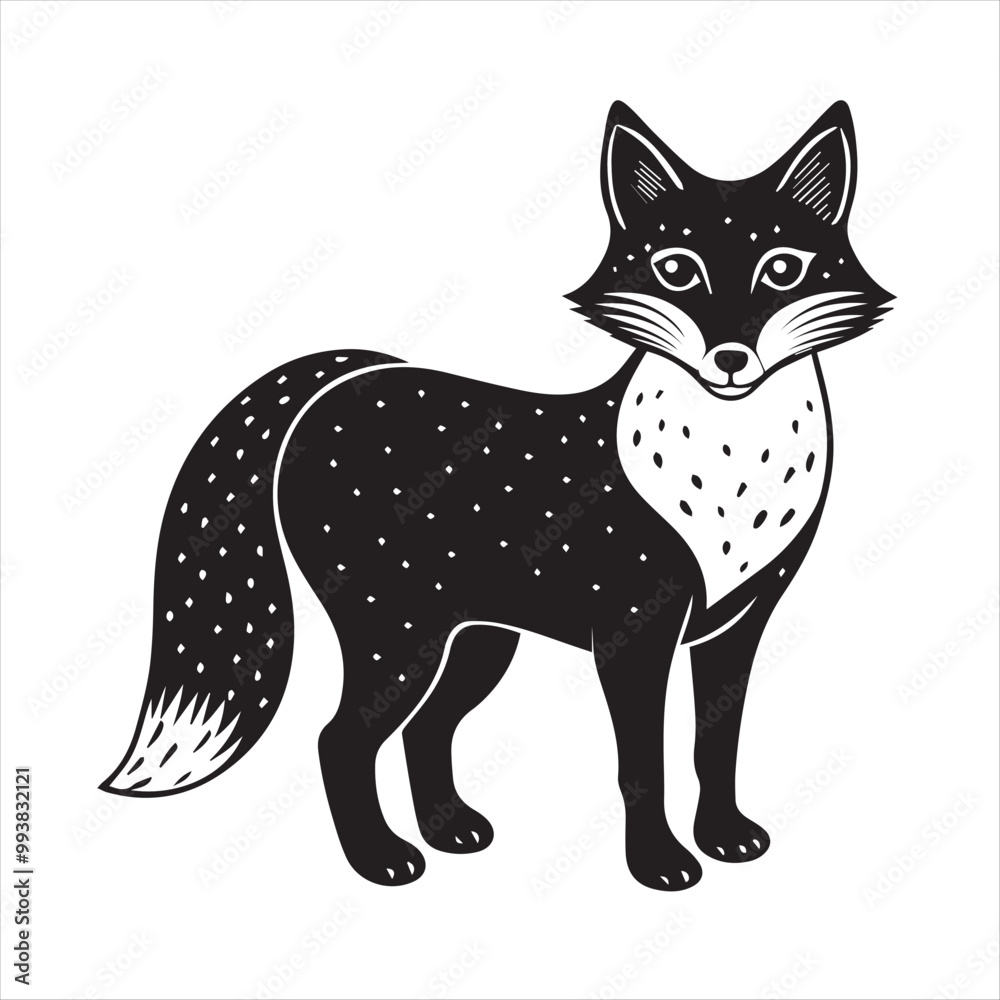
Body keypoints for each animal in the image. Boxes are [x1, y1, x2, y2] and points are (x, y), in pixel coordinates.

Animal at [101, 100, 893, 891]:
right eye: (676, 270)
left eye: (782, 270)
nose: (732, 359)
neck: (733, 469)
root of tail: (343, 377)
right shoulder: (635, 634)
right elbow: (644, 765)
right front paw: (659, 863)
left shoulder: (738, 626)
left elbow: (714, 747)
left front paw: (724, 836)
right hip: (399, 637)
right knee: (340, 738)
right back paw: (380, 859)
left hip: (475, 640)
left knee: (424, 728)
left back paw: (449, 829)